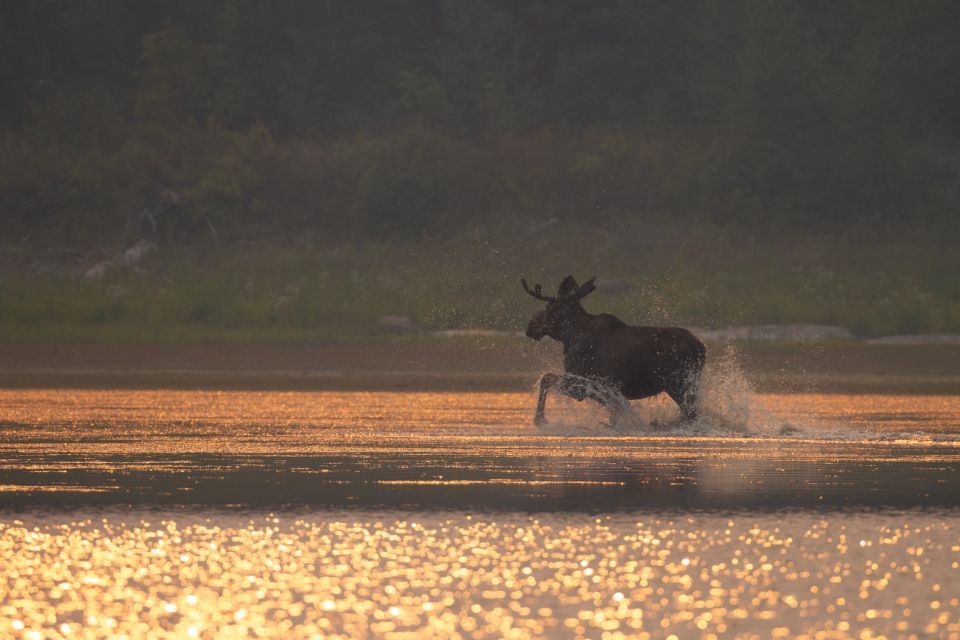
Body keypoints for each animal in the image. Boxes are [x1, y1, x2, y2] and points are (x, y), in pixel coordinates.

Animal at [521, 275, 706, 426]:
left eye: (550, 307)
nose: (531, 325)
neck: (569, 336)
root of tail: (700, 347)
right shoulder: (603, 389)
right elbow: (616, 411)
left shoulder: (583, 384)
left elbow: (545, 378)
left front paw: (539, 419)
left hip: (678, 382)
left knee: (690, 415)